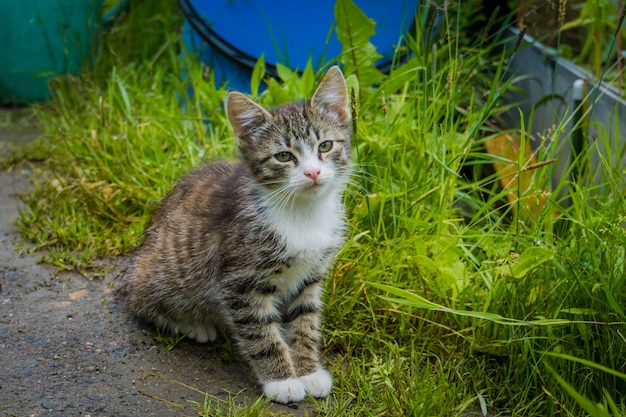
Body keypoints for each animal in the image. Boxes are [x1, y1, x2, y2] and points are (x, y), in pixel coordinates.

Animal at [125, 66, 352, 404]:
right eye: (283, 156)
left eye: (325, 146)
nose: (312, 173)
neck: (303, 213)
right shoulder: (239, 280)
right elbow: (260, 331)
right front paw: (282, 380)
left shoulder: (310, 275)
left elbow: (306, 321)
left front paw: (309, 371)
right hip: (163, 270)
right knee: (142, 302)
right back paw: (193, 323)